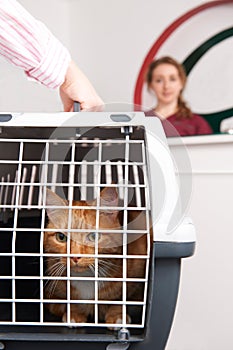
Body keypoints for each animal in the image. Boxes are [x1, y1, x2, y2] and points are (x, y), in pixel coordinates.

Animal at [43, 187, 149, 326]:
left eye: (94, 236)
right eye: (61, 237)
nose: (75, 256)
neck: (86, 278)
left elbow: (121, 298)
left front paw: (117, 315)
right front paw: (75, 313)